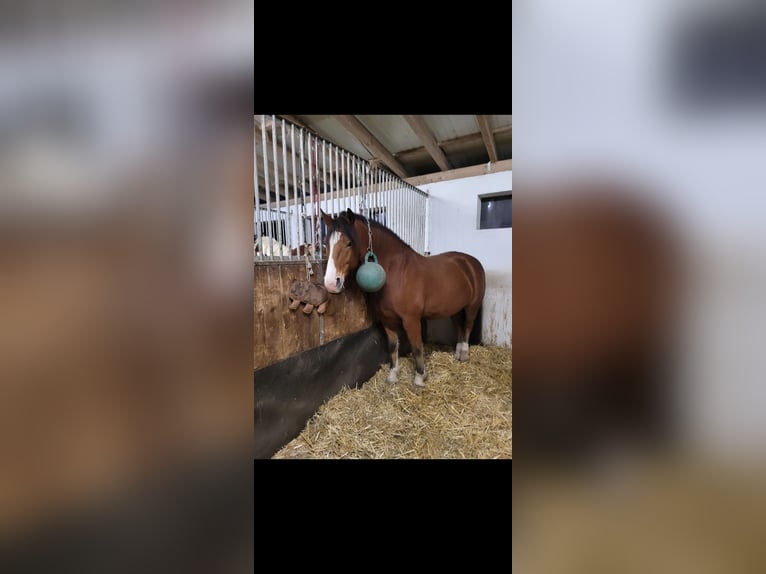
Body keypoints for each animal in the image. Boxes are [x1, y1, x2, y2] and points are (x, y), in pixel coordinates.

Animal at [322, 209, 486, 390]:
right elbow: (393, 346)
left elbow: (416, 347)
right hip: (454, 308)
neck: (396, 272)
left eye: (349, 243)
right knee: (459, 326)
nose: (331, 283)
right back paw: (457, 353)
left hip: (472, 306)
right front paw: (393, 376)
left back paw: (464, 354)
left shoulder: (411, 319)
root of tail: (470, 262)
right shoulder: (387, 320)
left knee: (468, 326)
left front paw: (419, 378)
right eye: (325, 244)